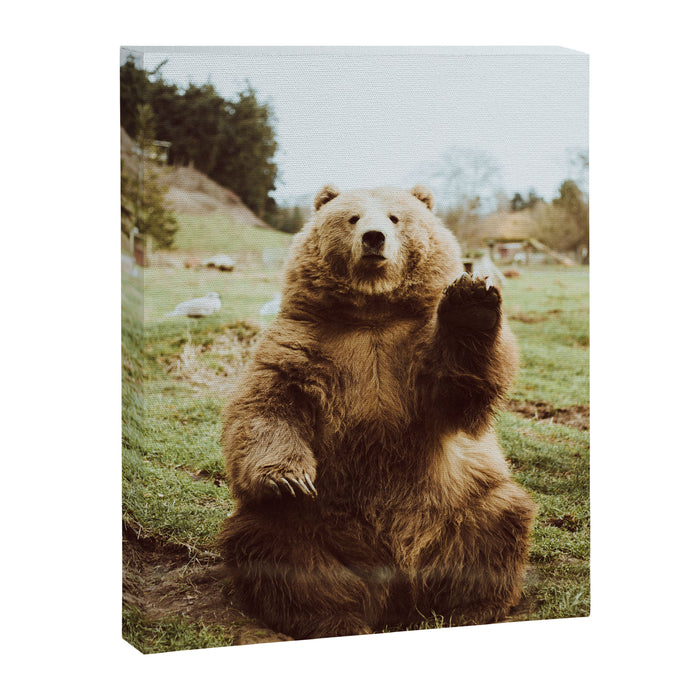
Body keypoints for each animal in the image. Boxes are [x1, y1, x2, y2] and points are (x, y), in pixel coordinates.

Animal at [219, 184, 536, 640]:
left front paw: (471, 302)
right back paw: (335, 620)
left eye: (394, 217)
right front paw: (288, 477)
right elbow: (267, 405)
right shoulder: (303, 344)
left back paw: (473, 607)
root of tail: (397, 585)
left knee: (496, 523)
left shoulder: (413, 352)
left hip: (458, 502)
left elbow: (460, 389)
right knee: (277, 548)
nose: (373, 238)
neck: (372, 313)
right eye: (351, 217)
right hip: (315, 525)